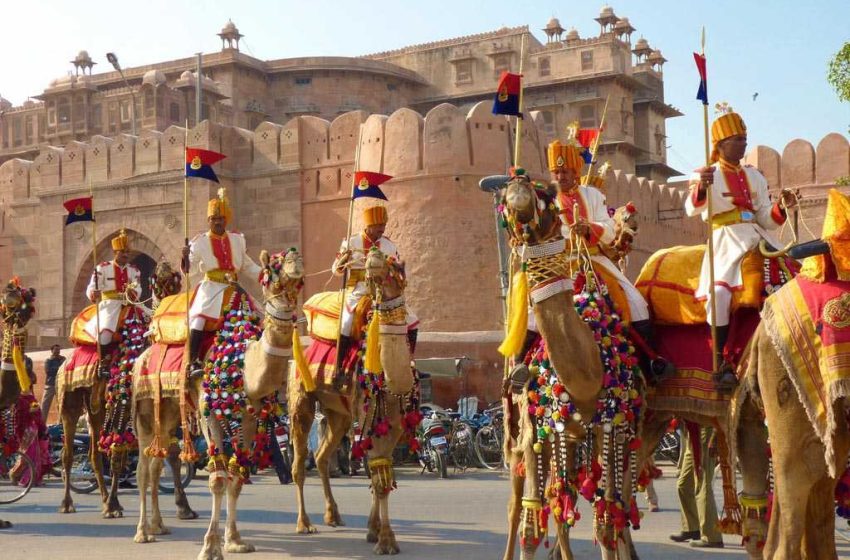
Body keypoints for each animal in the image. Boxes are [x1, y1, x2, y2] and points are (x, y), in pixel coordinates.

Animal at [288, 249, 418, 556]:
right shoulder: (370, 418)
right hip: (301, 400)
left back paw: (333, 514)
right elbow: (380, 481)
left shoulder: (392, 424)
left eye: (396, 266)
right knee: (299, 464)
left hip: (339, 414)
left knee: (322, 457)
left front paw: (374, 531)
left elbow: (380, 476)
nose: (374, 256)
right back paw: (304, 524)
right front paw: (386, 540)